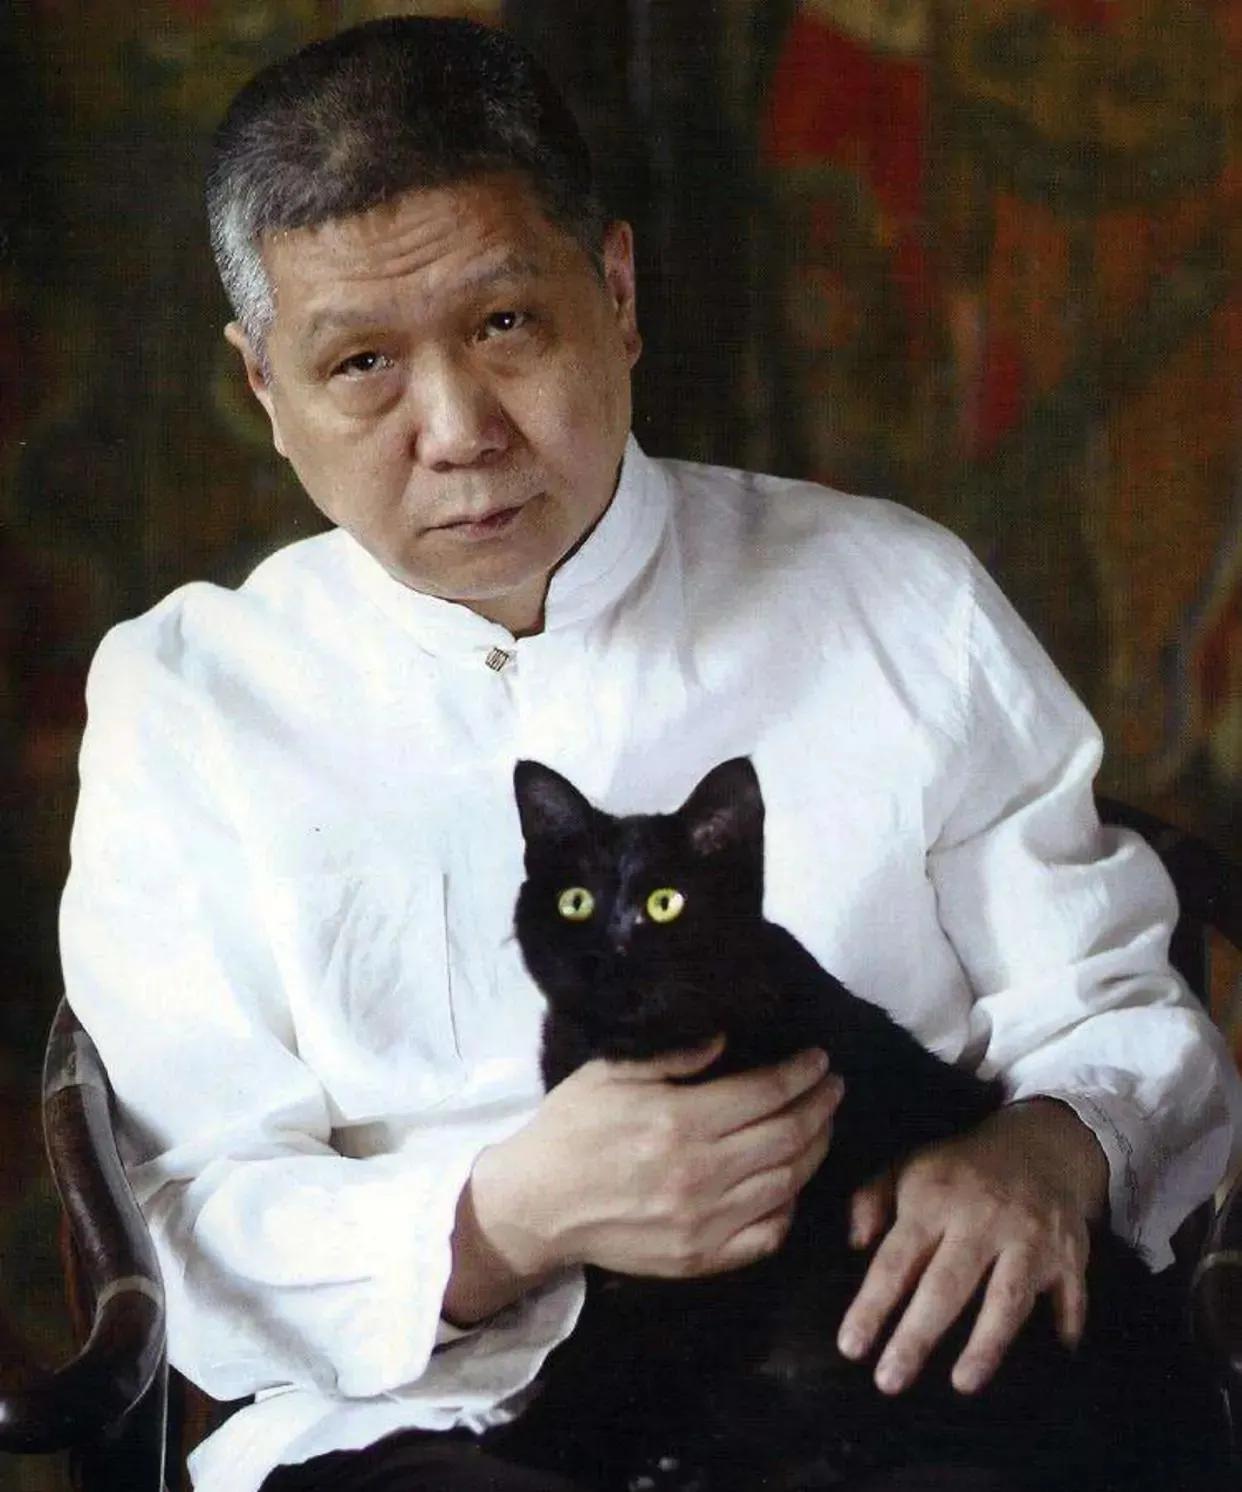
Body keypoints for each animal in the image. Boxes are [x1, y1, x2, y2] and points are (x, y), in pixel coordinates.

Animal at [493, 756, 1217, 1492]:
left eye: (666, 903)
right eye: (575, 903)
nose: (608, 955)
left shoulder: (733, 1261)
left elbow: (634, 1350)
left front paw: (562, 1438)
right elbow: (601, 1330)